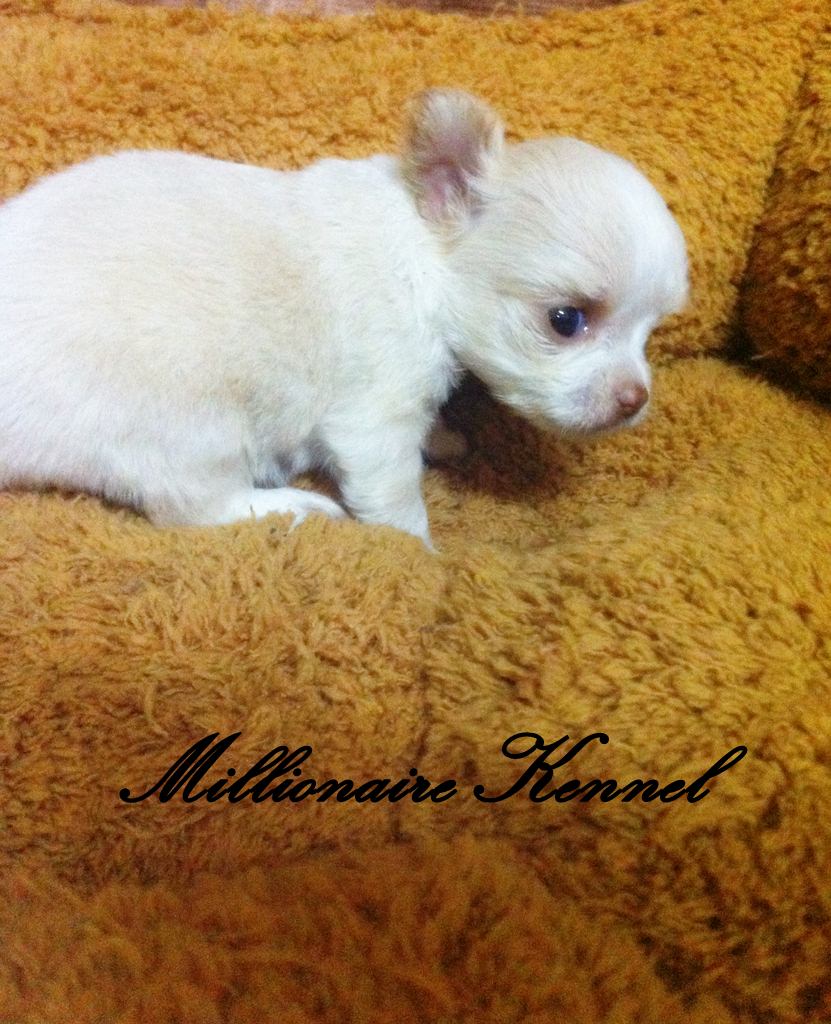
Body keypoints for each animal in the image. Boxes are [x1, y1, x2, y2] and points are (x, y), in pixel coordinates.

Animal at [0, 89, 688, 547]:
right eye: (566, 320)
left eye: (651, 331)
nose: (635, 399)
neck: (420, 251)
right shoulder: (373, 421)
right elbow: (398, 502)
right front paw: (420, 554)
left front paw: (443, 438)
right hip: (194, 427)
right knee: (192, 506)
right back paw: (291, 508)